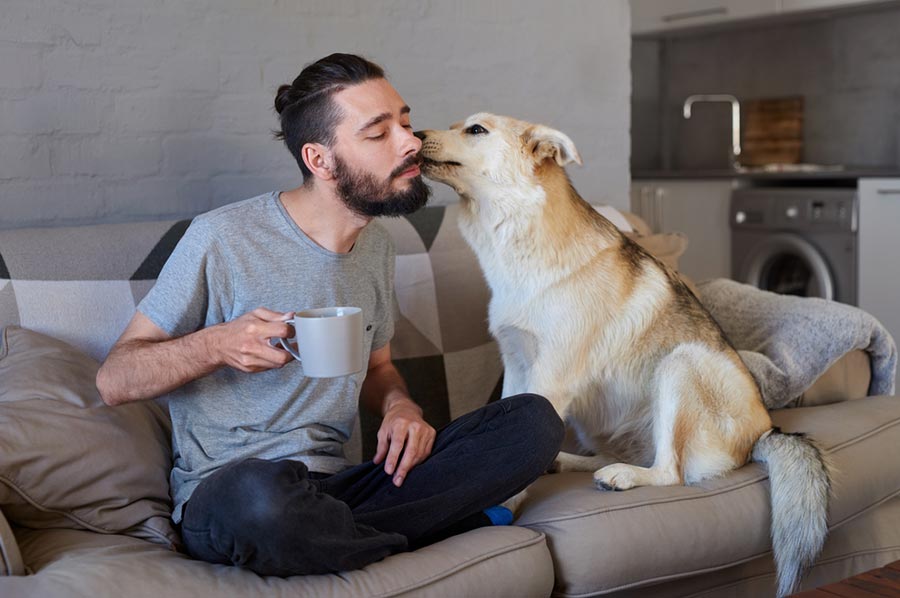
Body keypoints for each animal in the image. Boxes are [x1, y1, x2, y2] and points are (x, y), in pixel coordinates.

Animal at [418, 115, 832, 596]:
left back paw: (624, 476)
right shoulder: (517, 367)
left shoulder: (548, 379)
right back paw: (572, 463)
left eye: (476, 130)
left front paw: (504, 506)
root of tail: (765, 432)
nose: (414, 135)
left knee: (670, 472)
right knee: (617, 455)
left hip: (679, 365)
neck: (520, 235)